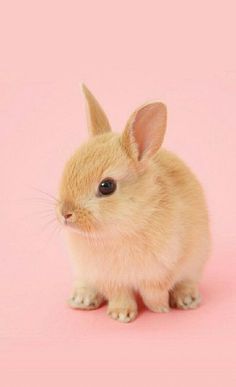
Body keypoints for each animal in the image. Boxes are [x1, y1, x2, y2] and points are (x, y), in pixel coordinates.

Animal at [56, 85, 210, 324]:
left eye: (107, 186)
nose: (65, 213)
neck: (123, 228)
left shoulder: (161, 271)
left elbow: (154, 293)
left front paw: (160, 309)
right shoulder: (111, 278)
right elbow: (120, 295)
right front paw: (121, 315)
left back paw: (187, 300)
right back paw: (81, 300)